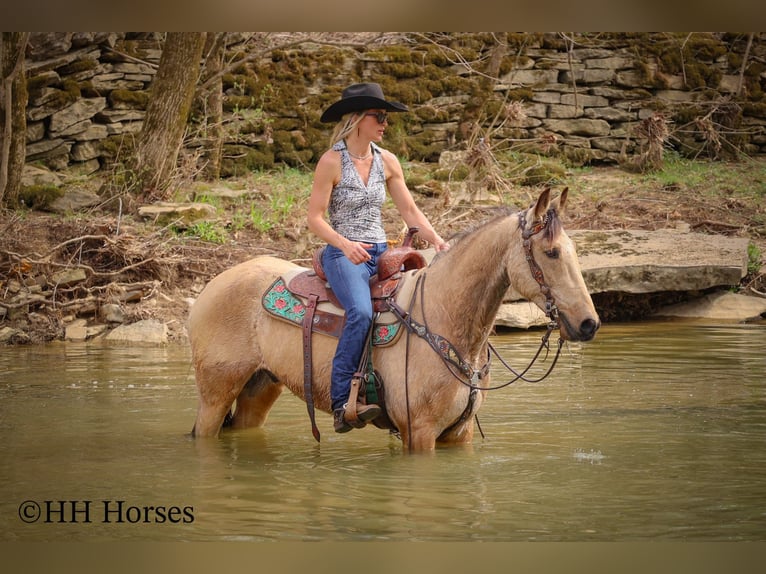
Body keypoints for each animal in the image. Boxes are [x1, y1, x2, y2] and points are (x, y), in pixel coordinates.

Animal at [187, 187, 600, 452]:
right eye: (551, 252)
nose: (588, 324)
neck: (443, 316)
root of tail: (211, 286)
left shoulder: (459, 434)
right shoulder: (419, 433)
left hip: (258, 389)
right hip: (215, 395)